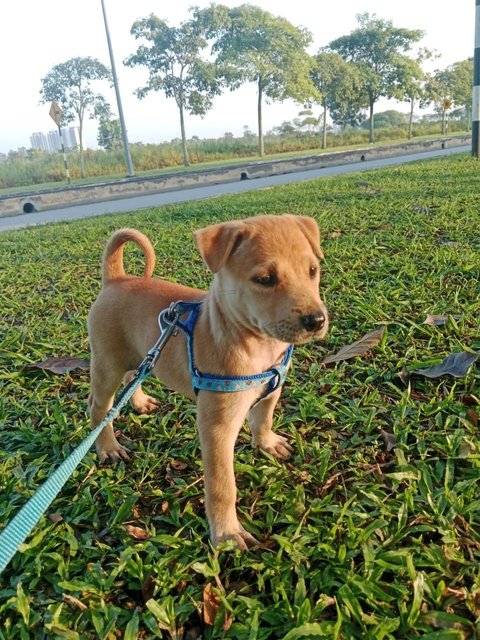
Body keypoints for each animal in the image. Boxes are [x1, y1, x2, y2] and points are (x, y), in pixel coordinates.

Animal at [88, 212, 328, 548]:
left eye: (312, 271)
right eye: (265, 279)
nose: (316, 321)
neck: (255, 343)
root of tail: (117, 279)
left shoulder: (272, 389)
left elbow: (263, 419)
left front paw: (267, 444)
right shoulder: (217, 428)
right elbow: (222, 486)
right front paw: (227, 533)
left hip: (136, 352)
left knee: (133, 375)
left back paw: (139, 401)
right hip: (107, 362)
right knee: (99, 406)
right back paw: (108, 446)